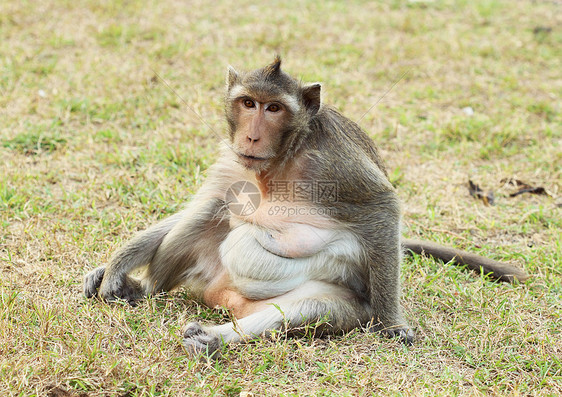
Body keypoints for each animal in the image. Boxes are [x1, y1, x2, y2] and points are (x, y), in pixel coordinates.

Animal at [82, 56, 524, 356]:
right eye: (248, 103)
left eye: (274, 108)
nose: (252, 137)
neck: (281, 160)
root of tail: (225, 300)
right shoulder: (233, 161)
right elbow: (209, 201)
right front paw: (114, 267)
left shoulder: (333, 164)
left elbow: (381, 207)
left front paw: (392, 324)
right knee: (204, 218)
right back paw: (143, 289)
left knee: (307, 309)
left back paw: (216, 337)